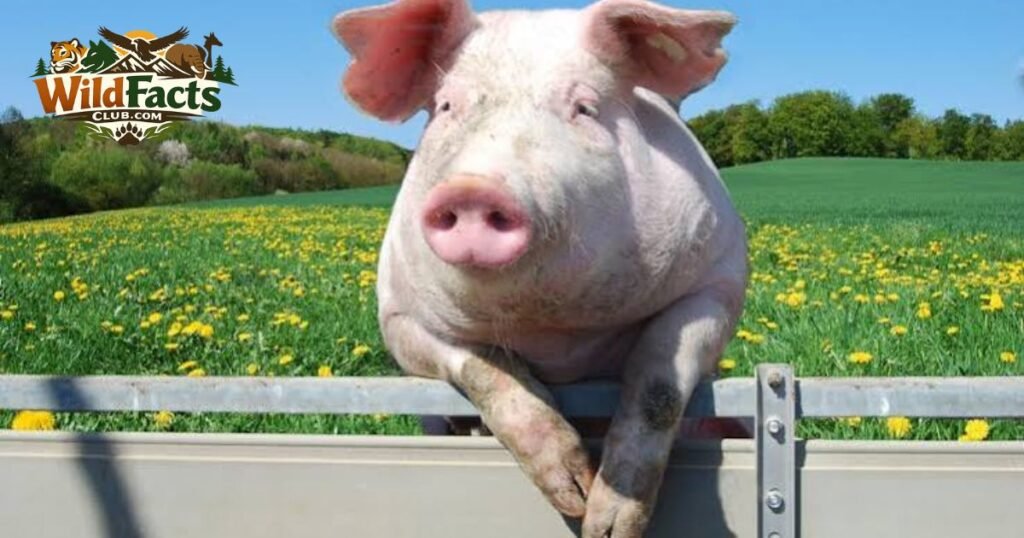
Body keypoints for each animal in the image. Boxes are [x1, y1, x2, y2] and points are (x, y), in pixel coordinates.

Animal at [332, 0, 746, 536]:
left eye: (584, 107)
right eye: (445, 107)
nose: (473, 188)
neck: (553, 330)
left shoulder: (720, 277)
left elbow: (659, 381)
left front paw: (604, 524)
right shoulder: (398, 316)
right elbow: (485, 369)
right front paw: (573, 495)